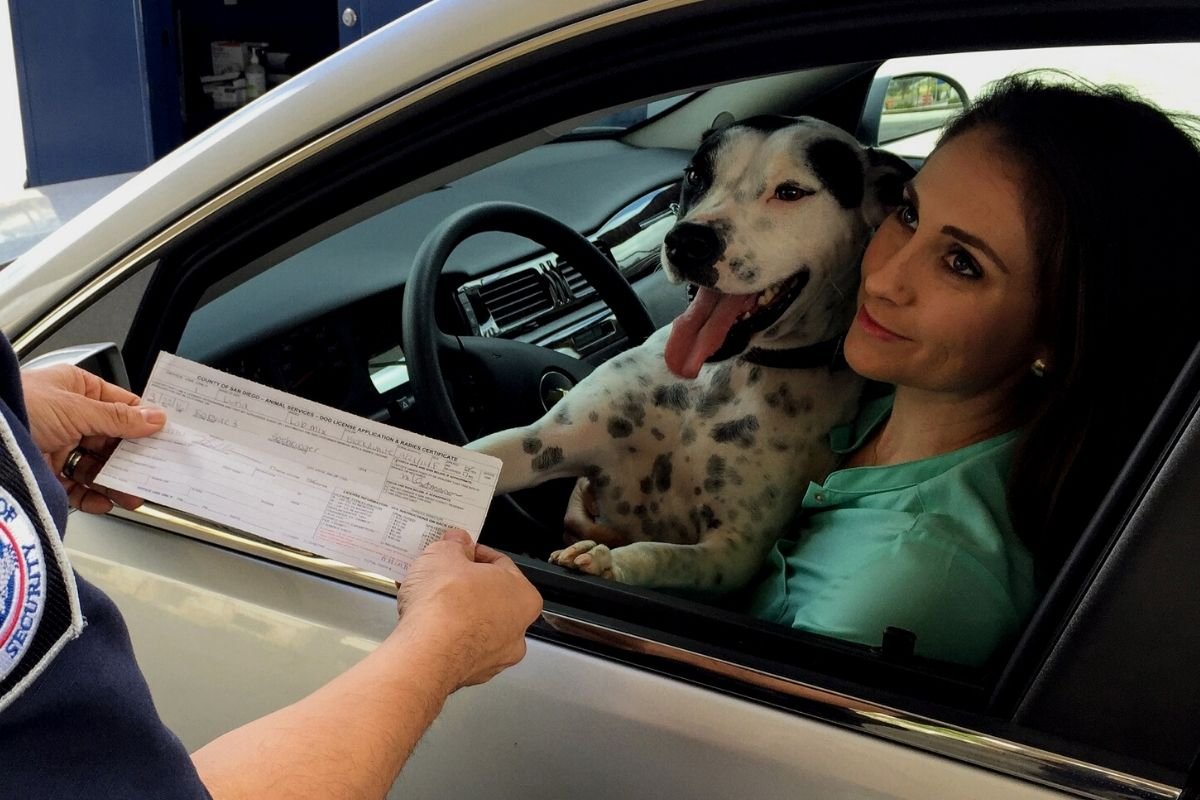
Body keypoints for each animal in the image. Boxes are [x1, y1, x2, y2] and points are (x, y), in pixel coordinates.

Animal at [468, 117, 907, 594]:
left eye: (791, 192)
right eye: (696, 176)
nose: (687, 241)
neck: (724, 376)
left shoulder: (734, 551)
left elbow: (660, 554)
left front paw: (608, 561)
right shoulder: (541, 442)